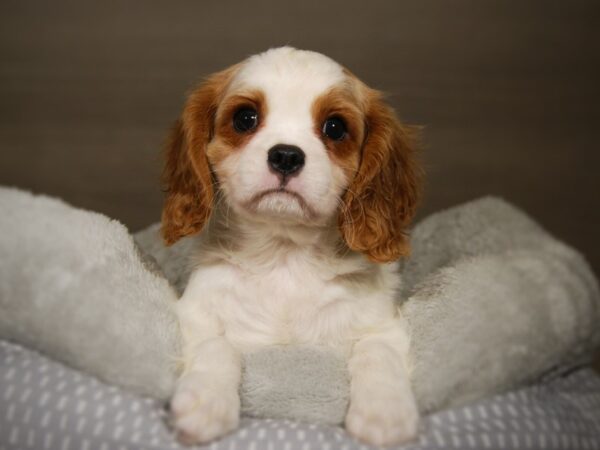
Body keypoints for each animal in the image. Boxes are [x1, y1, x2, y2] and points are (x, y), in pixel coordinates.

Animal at [162, 46, 420, 446]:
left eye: (335, 127)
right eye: (245, 118)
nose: (286, 155)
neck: (284, 255)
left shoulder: (384, 325)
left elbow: (376, 350)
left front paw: (384, 411)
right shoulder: (195, 318)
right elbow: (216, 345)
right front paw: (204, 402)